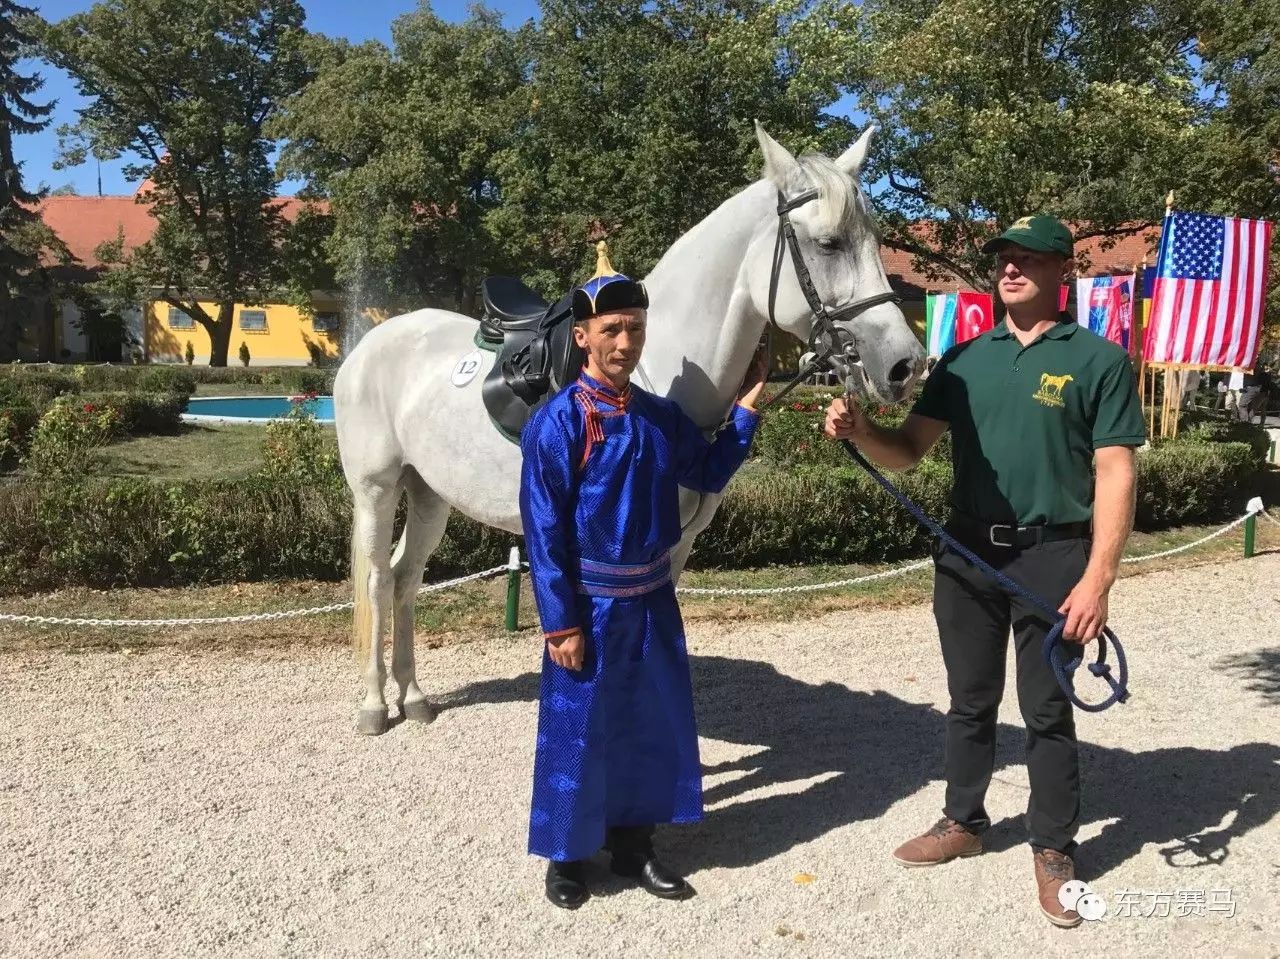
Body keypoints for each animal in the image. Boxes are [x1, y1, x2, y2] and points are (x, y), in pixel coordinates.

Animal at [335, 119, 926, 732]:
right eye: (828, 242)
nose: (906, 365)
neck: (655, 371)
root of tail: (371, 342)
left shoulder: (676, 544)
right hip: (376, 490)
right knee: (379, 580)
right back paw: (376, 704)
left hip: (430, 494)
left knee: (407, 579)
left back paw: (415, 697)